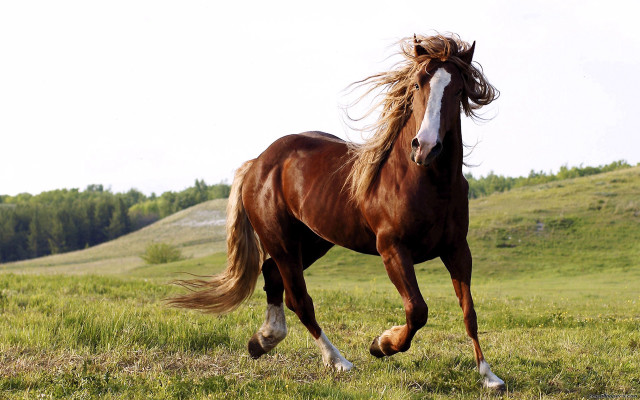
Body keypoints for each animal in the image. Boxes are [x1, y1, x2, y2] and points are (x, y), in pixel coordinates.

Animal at [169, 33, 504, 390]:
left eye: (458, 90)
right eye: (416, 85)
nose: (425, 147)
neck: (425, 181)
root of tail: (258, 162)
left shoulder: (457, 249)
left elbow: (469, 312)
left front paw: (488, 375)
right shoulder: (393, 249)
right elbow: (417, 310)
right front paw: (381, 344)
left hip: (313, 241)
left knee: (273, 276)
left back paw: (263, 340)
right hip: (283, 242)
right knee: (299, 299)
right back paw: (338, 361)